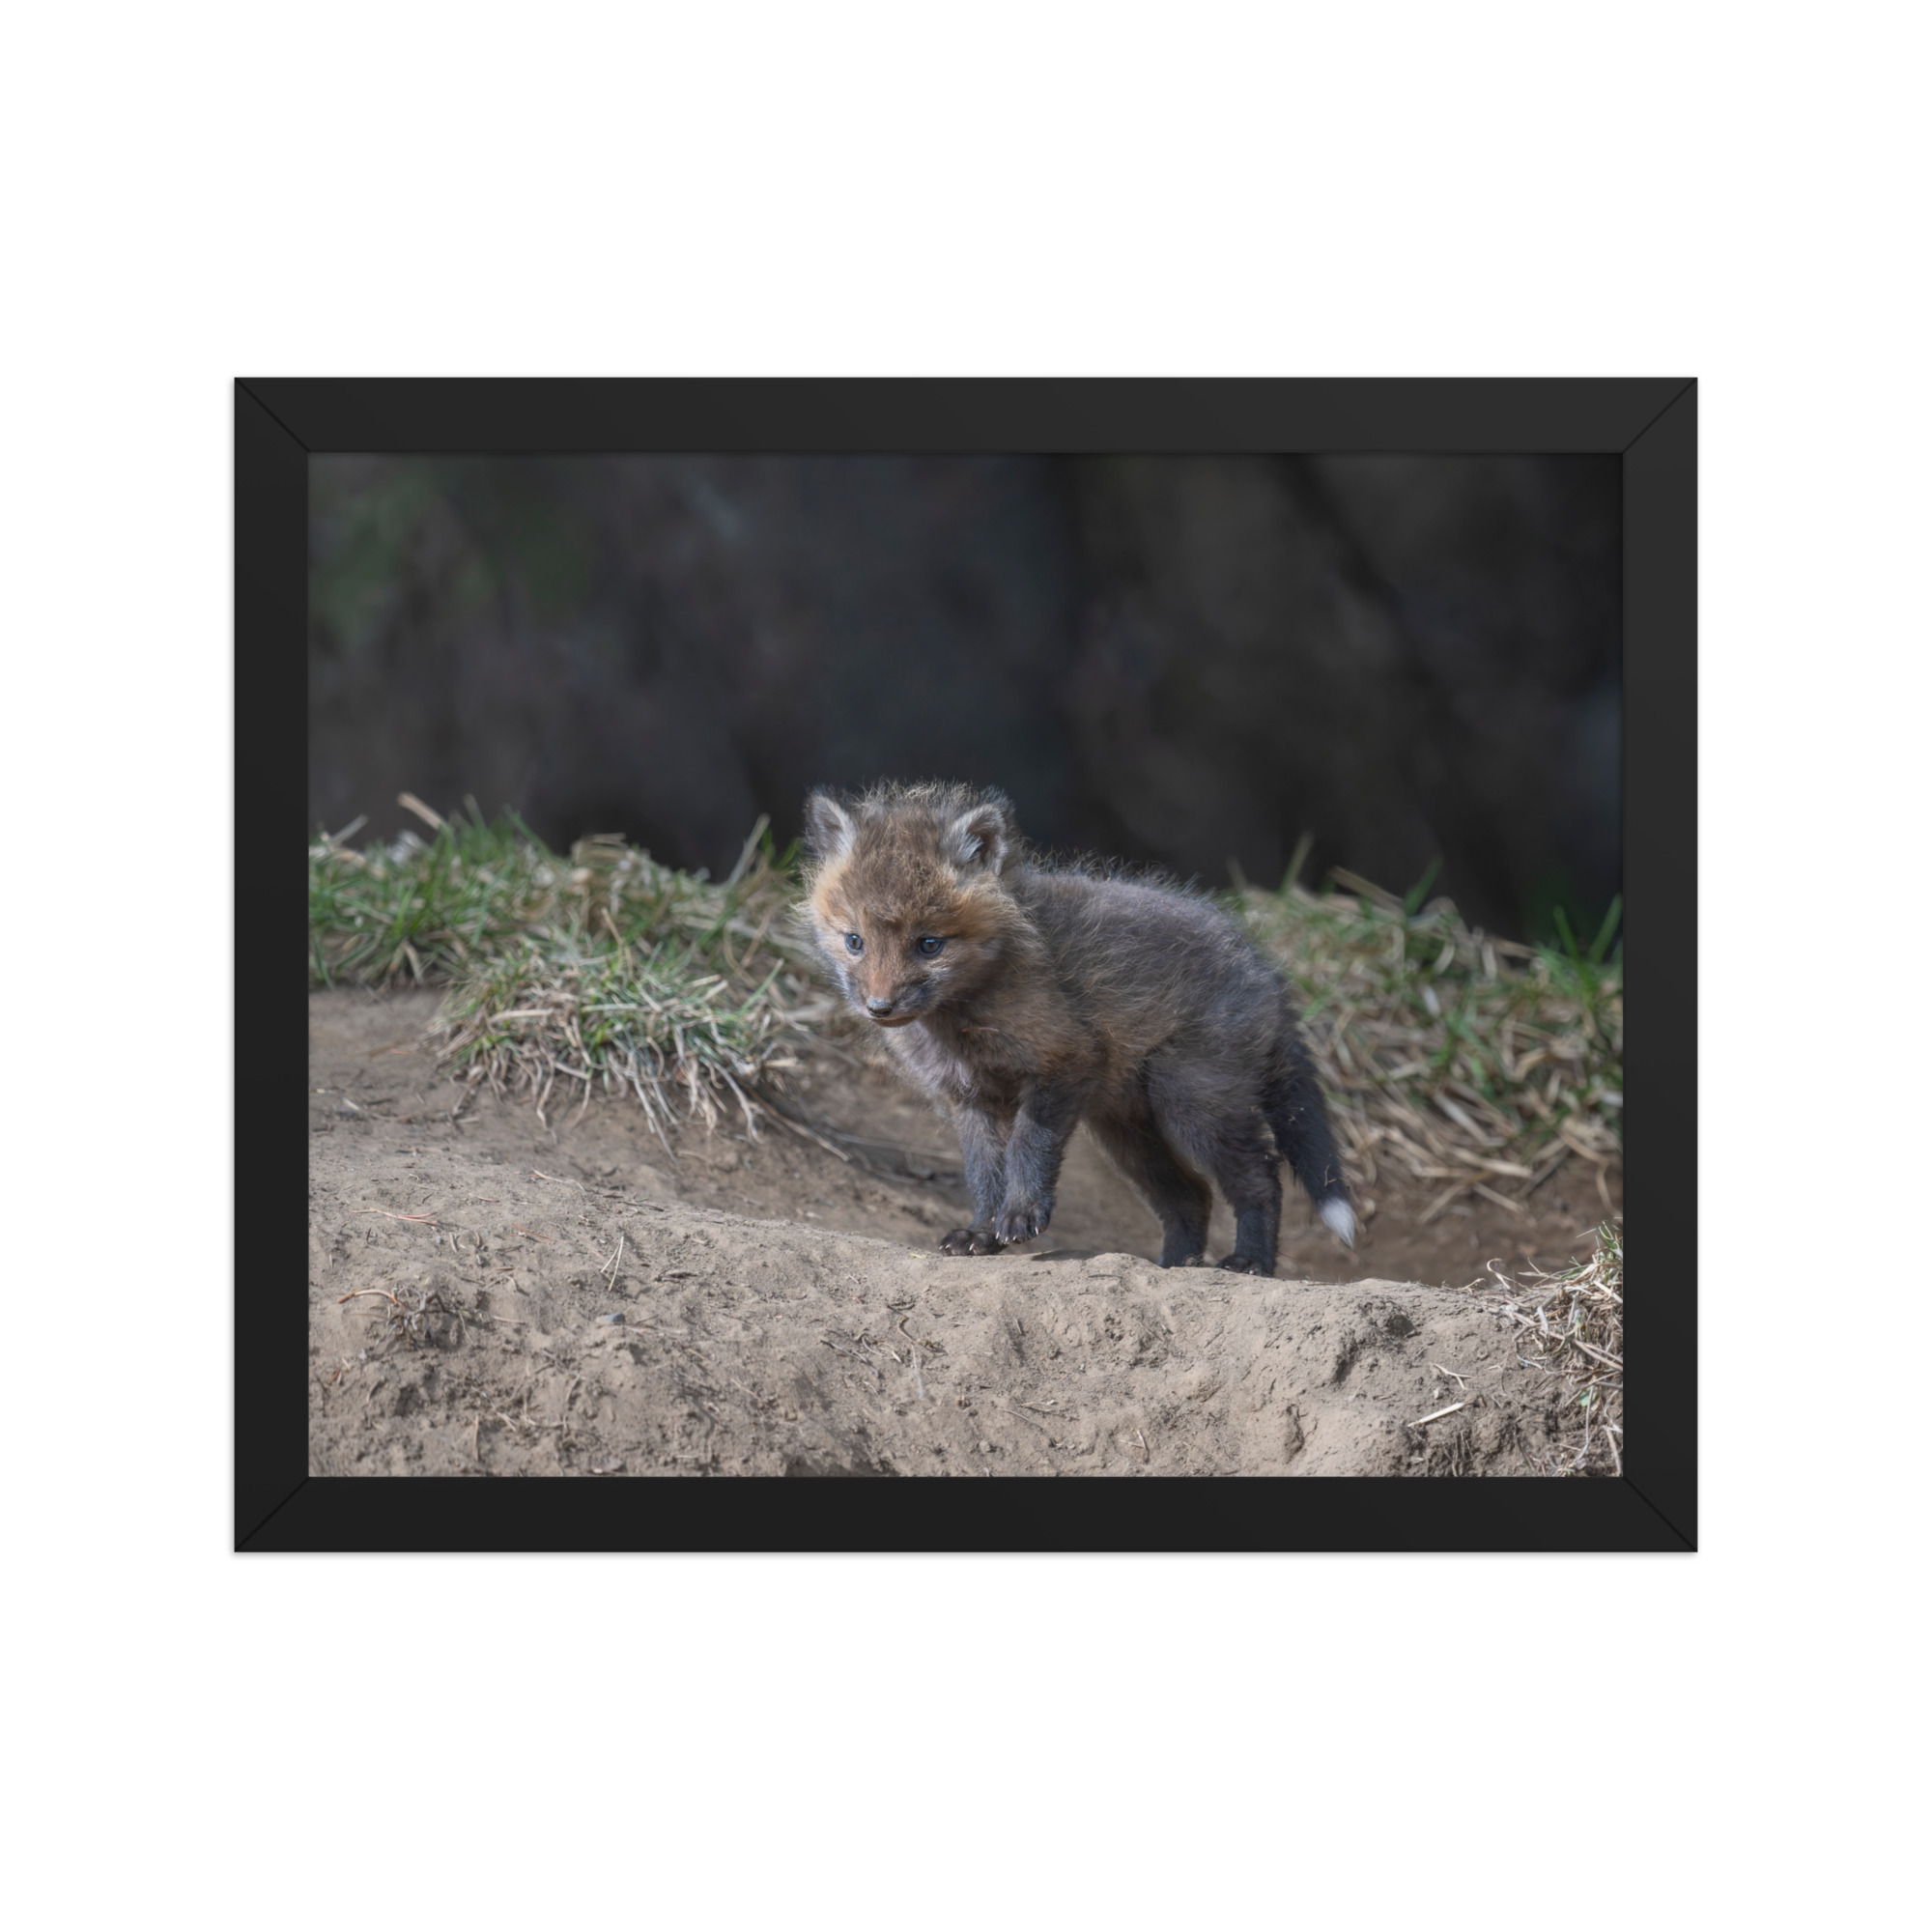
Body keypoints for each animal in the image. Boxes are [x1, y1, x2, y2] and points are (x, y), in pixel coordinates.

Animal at [799, 780, 1355, 1276]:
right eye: (854, 941)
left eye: (929, 944)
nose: (879, 1007)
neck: (962, 1023)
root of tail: (1266, 970)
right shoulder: (970, 1098)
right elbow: (984, 1173)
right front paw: (981, 1232)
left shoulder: (1063, 1062)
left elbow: (1028, 1148)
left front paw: (1021, 1215)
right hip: (1128, 1133)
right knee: (1191, 1196)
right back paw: (1175, 1266)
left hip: (1193, 1105)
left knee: (1261, 1177)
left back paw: (1251, 1262)